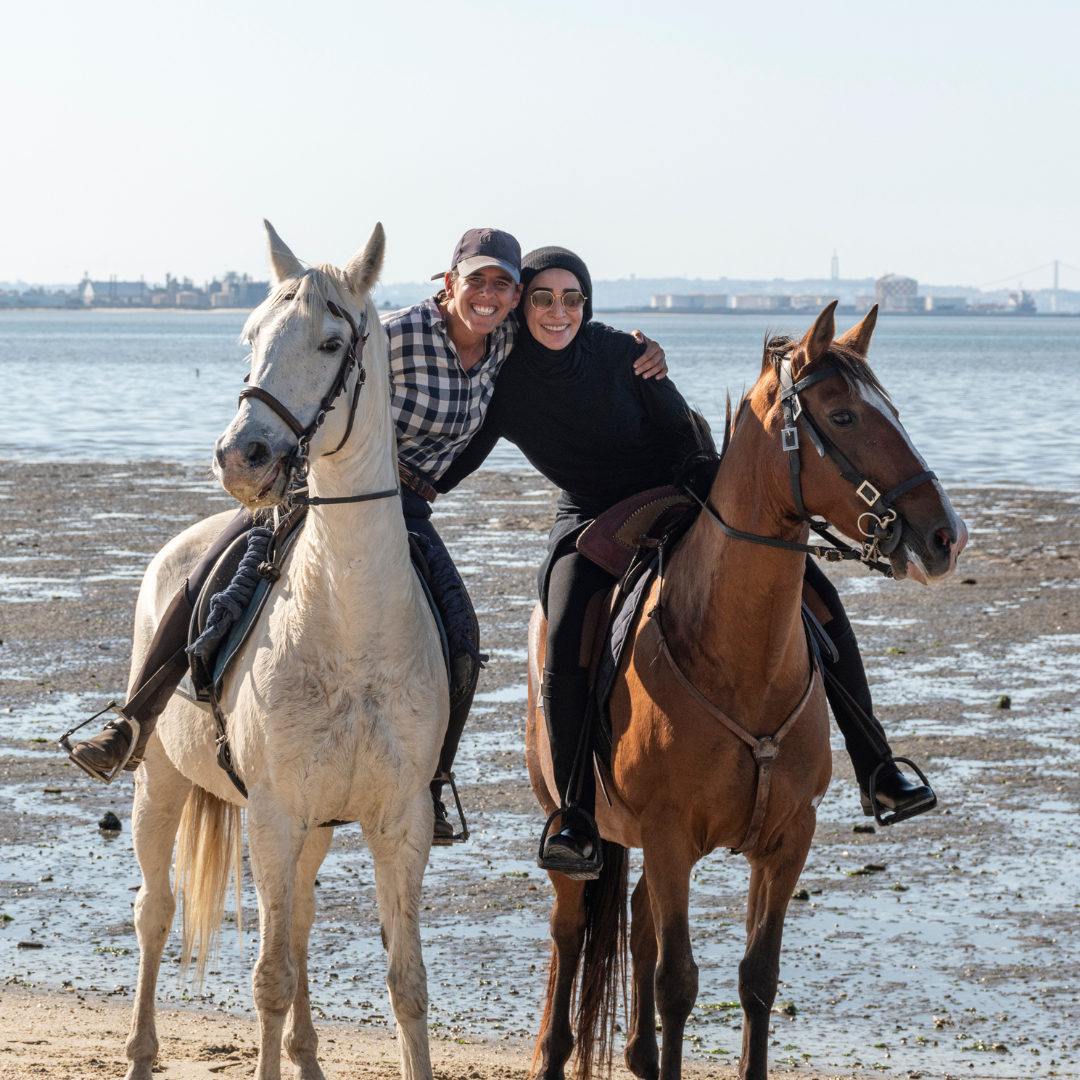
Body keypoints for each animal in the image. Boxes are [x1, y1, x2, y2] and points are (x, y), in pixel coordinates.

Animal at [122, 221, 447, 1080]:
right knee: (156, 913)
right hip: (161, 782)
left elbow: (405, 983)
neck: (351, 631)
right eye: (252, 336)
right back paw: (140, 1052)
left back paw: (306, 1054)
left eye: (332, 342)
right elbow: (268, 978)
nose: (244, 456)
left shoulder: (398, 821)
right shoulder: (272, 814)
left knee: (297, 919)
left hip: (316, 827)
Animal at [527, 302, 967, 1080]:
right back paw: (554, 1050)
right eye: (844, 415)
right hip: (575, 835)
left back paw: (639, 1055)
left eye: (893, 409)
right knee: (571, 935)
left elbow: (756, 978)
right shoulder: (670, 839)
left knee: (636, 923)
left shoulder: (788, 840)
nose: (946, 535)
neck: (741, 660)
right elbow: (677, 984)